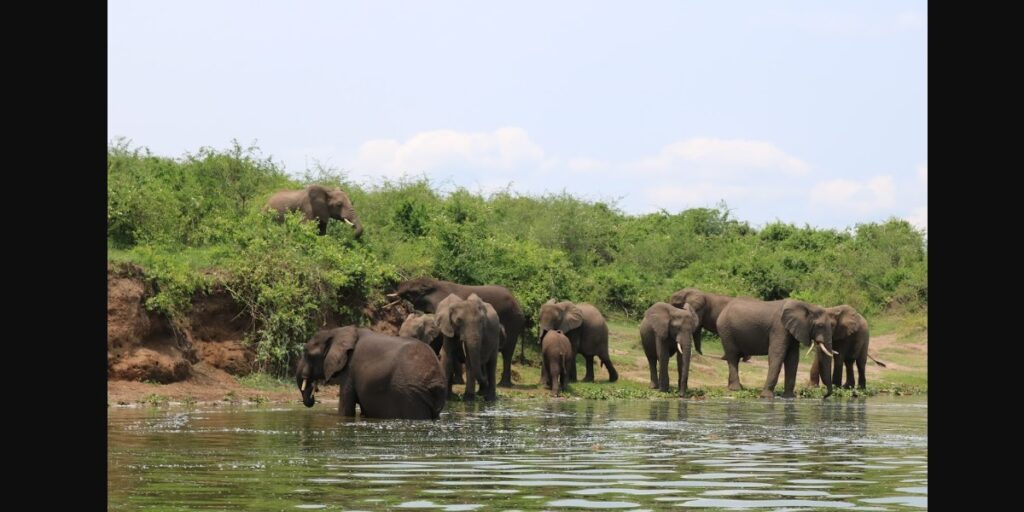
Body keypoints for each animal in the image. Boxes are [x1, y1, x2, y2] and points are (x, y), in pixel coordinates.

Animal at [385, 278, 524, 385]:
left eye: (413, 292)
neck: (435, 284)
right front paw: (457, 381)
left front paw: (456, 382)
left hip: (513, 321)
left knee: (507, 353)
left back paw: (504, 384)